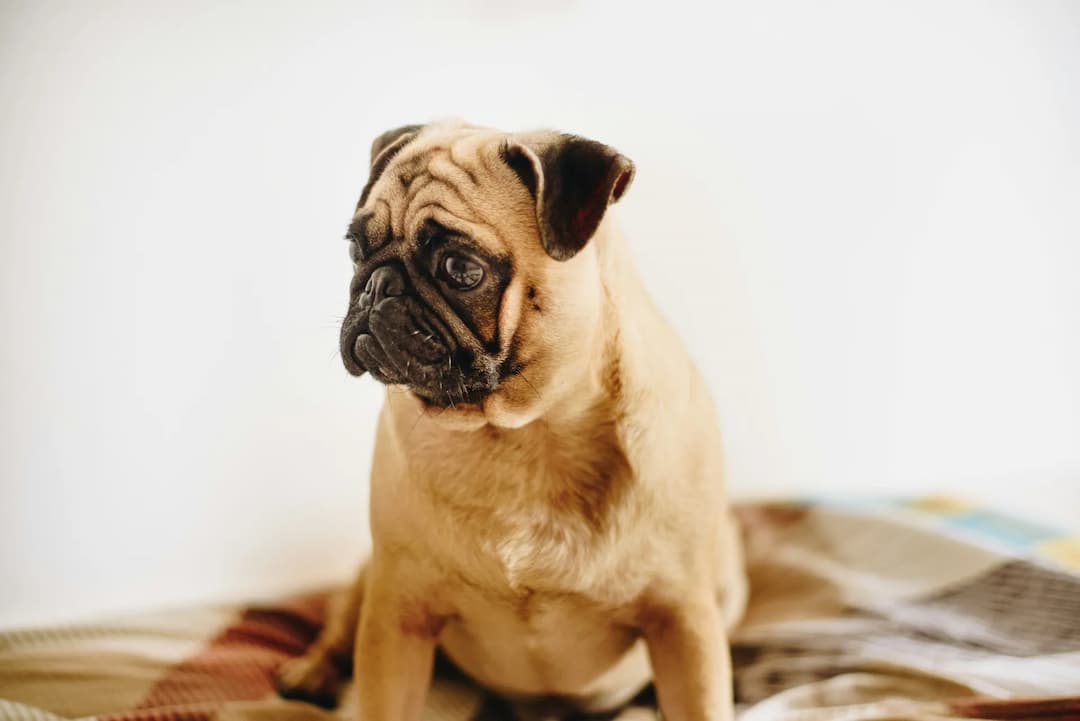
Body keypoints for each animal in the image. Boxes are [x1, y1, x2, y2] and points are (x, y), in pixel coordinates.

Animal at [274, 119, 747, 721]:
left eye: (461, 269)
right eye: (357, 249)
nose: (376, 286)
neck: (520, 434)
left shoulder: (684, 619)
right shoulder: (396, 608)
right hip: (368, 578)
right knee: (339, 623)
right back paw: (310, 673)